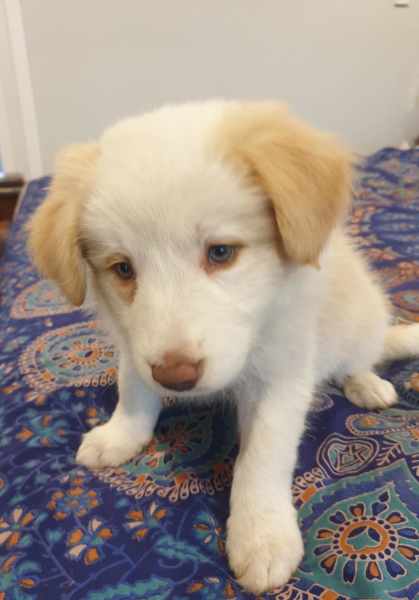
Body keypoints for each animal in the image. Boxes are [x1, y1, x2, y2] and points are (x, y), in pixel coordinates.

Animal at [28, 101, 419, 592]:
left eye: (220, 253)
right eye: (122, 269)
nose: (176, 377)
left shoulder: (283, 373)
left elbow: (261, 457)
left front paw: (262, 534)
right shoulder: (135, 342)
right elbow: (133, 390)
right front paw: (122, 434)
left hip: (361, 318)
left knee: (361, 355)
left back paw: (366, 383)